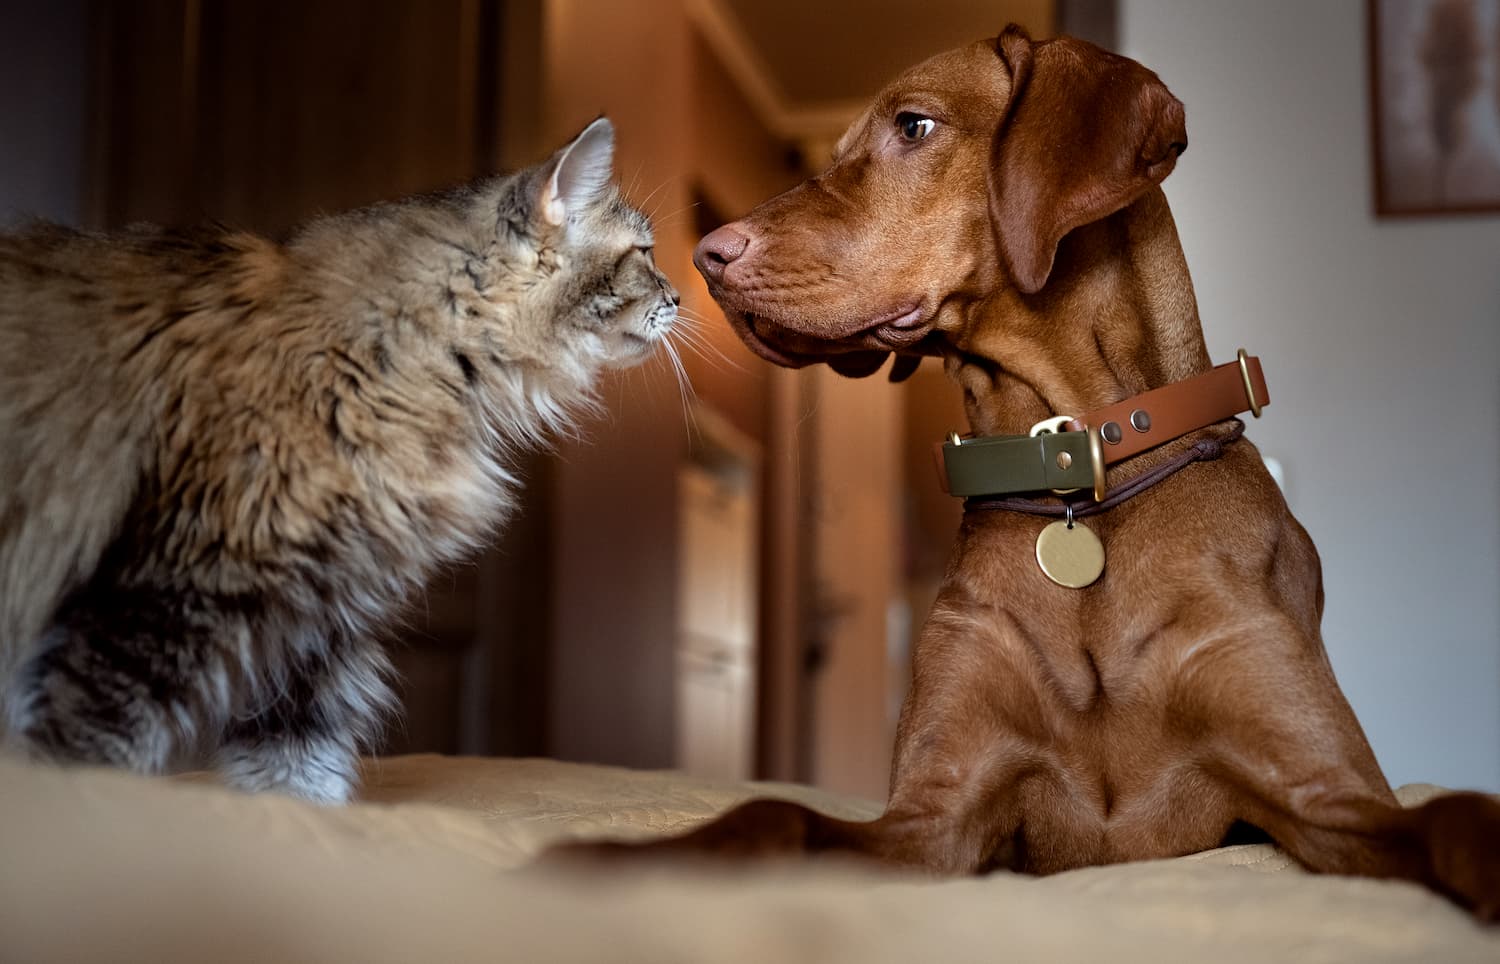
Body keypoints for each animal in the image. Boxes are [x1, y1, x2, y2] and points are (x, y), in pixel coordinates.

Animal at [0, 116, 681, 803]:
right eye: (645, 255)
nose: (679, 297)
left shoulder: (314, 625)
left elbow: (298, 779)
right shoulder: (170, 592)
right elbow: (87, 755)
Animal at [567, 24, 1494, 917]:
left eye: (914, 126)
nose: (706, 255)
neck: (1077, 478)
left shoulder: (1326, 796)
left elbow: (1455, 811)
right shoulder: (935, 820)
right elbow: (775, 813)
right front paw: (619, 861)